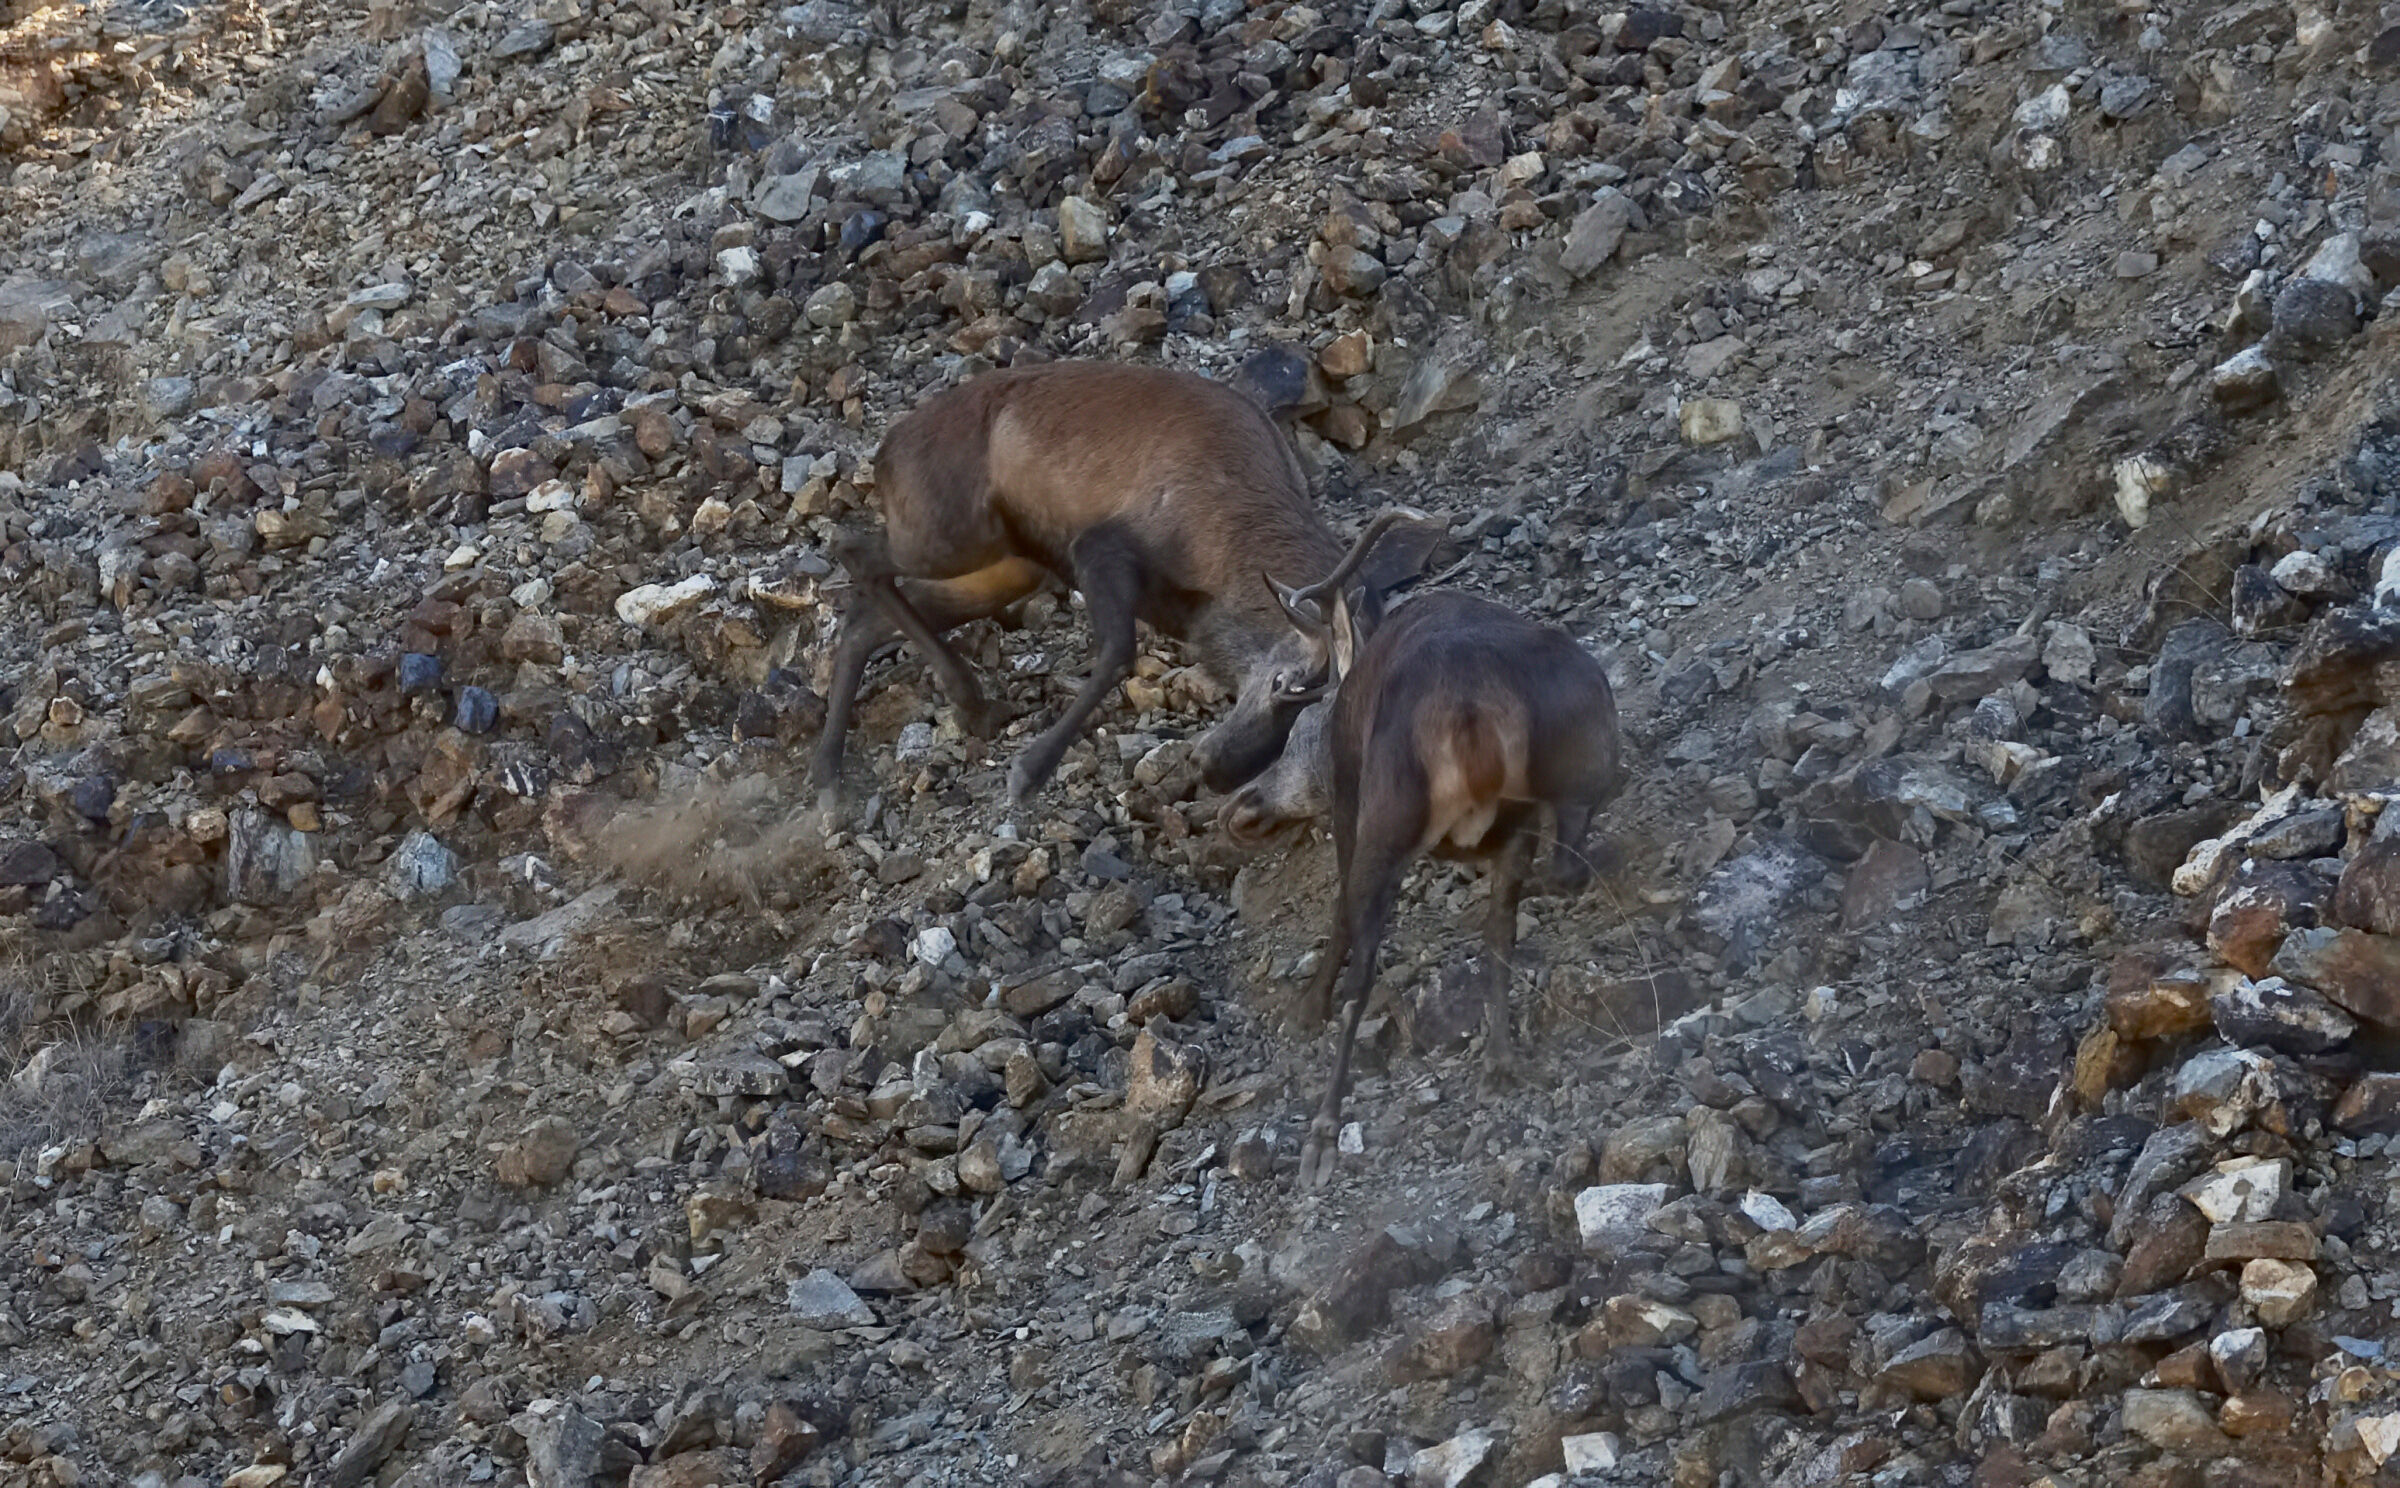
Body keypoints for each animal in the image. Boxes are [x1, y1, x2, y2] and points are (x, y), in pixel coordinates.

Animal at [805, 359, 1444, 812]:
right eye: (1287, 685)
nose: (1215, 770)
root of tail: (884, 455)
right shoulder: (1099, 546)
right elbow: (1117, 650)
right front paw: (1028, 771)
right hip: (950, 532)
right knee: (852, 549)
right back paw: (964, 701)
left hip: (1006, 567)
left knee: (869, 617)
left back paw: (834, 774)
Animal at [1213, 508, 1628, 1187]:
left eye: (1302, 729)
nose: (1238, 808)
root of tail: (1475, 709)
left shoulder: (1351, 802)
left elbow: (1341, 916)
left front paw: (1307, 1006)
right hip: (1583, 767)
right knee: (1543, 885)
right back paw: (1500, 1055)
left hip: (1389, 811)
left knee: (1366, 965)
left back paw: (1322, 1134)